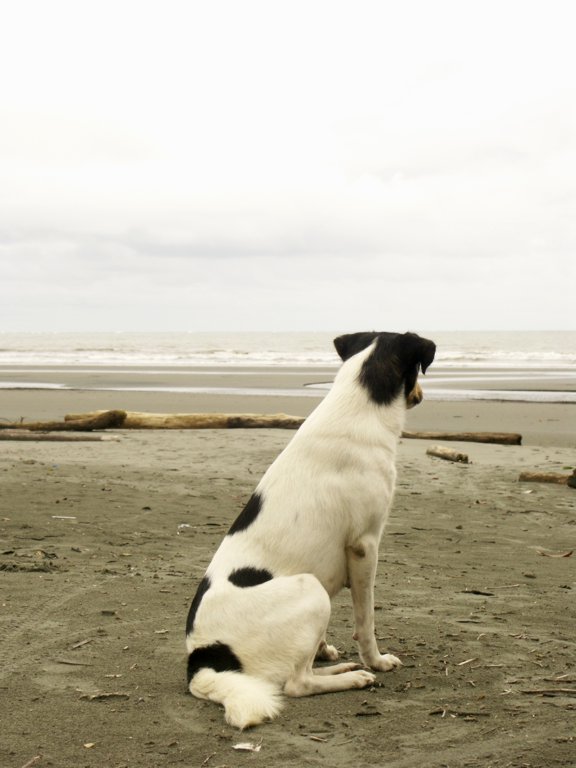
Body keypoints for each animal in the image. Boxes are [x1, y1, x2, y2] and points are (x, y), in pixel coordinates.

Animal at [187, 330, 434, 728]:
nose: (422, 394)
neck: (359, 403)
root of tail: (203, 659)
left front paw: (326, 650)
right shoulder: (364, 546)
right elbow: (366, 619)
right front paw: (376, 661)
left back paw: (337, 666)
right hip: (312, 589)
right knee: (296, 684)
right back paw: (353, 676)